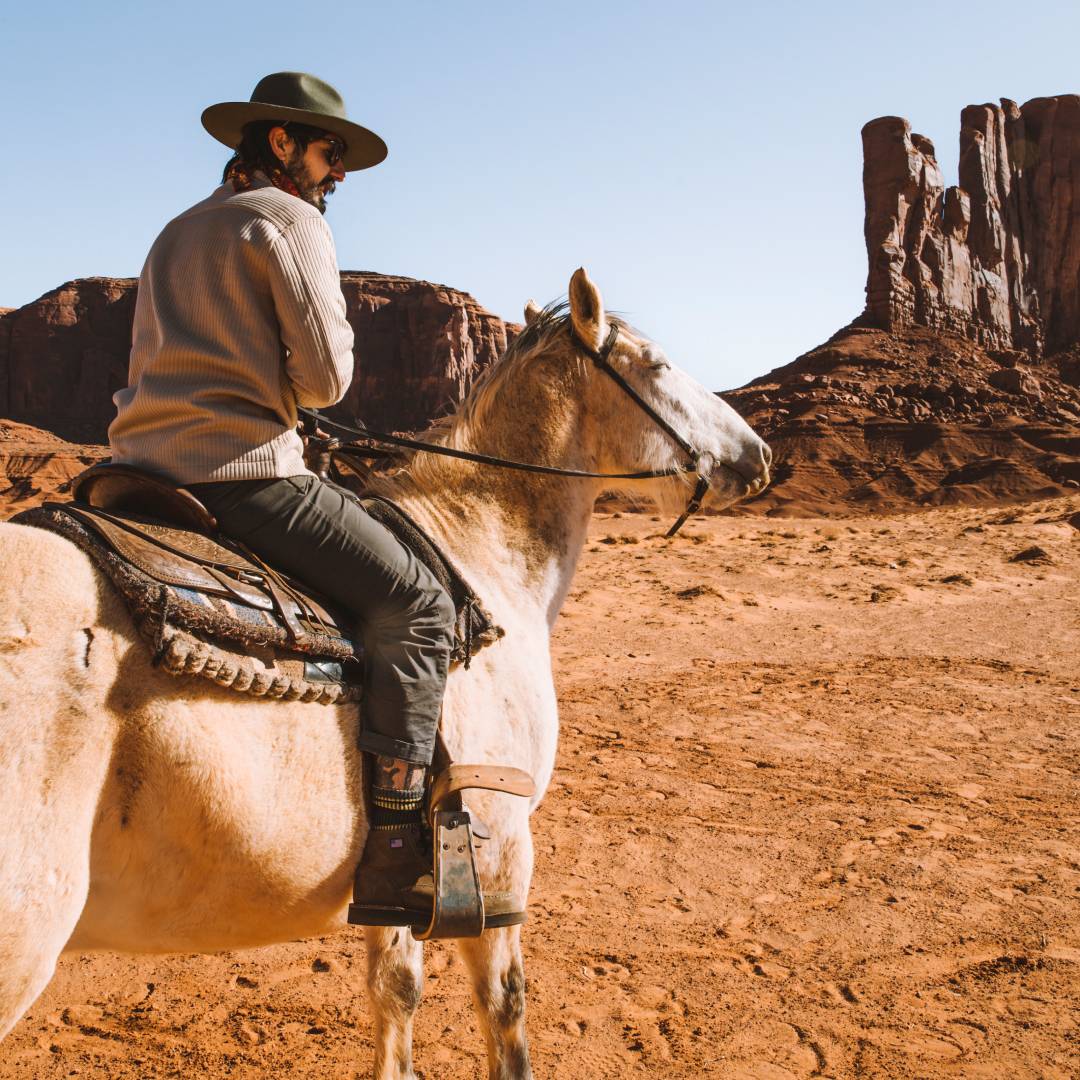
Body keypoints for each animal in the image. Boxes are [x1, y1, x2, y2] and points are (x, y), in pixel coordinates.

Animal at [0, 270, 768, 1080]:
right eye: (657, 363)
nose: (758, 455)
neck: (481, 557)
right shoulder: (499, 842)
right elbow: (505, 1011)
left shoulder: (401, 875)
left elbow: (394, 989)